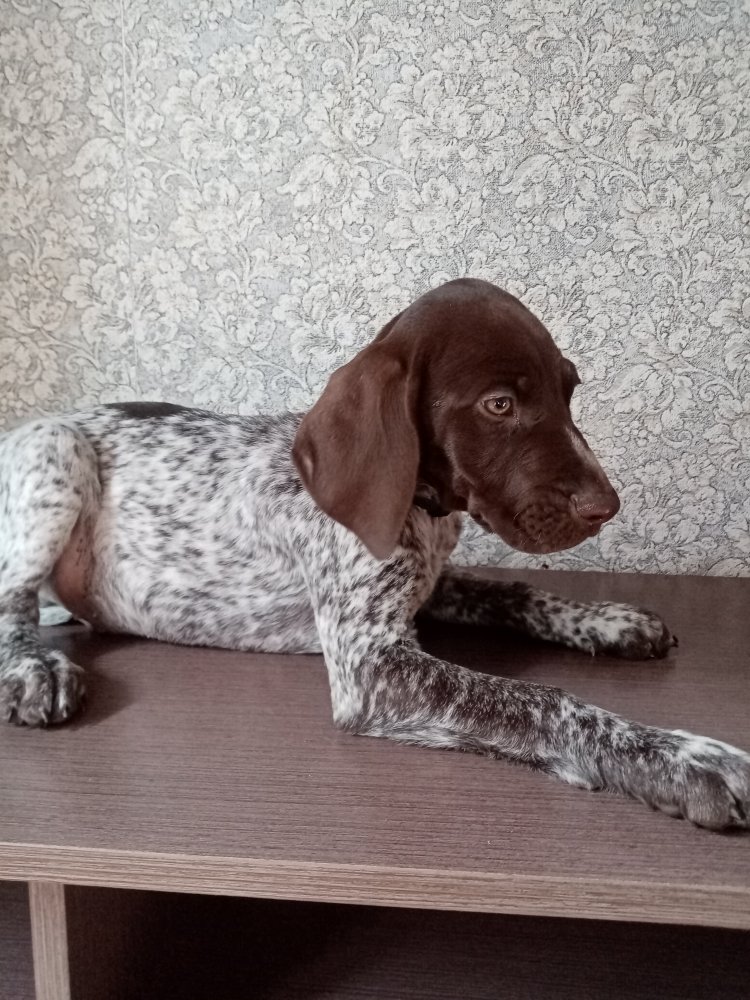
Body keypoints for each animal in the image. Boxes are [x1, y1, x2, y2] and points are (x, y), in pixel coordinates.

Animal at [1, 278, 748, 829]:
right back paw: (35, 668)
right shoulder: (374, 665)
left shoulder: (426, 587)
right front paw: (681, 759)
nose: (607, 505)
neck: (423, 507)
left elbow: (518, 593)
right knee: (12, 603)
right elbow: (538, 700)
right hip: (56, 450)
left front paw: (610, 621)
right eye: (499, 405)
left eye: (568, 391)